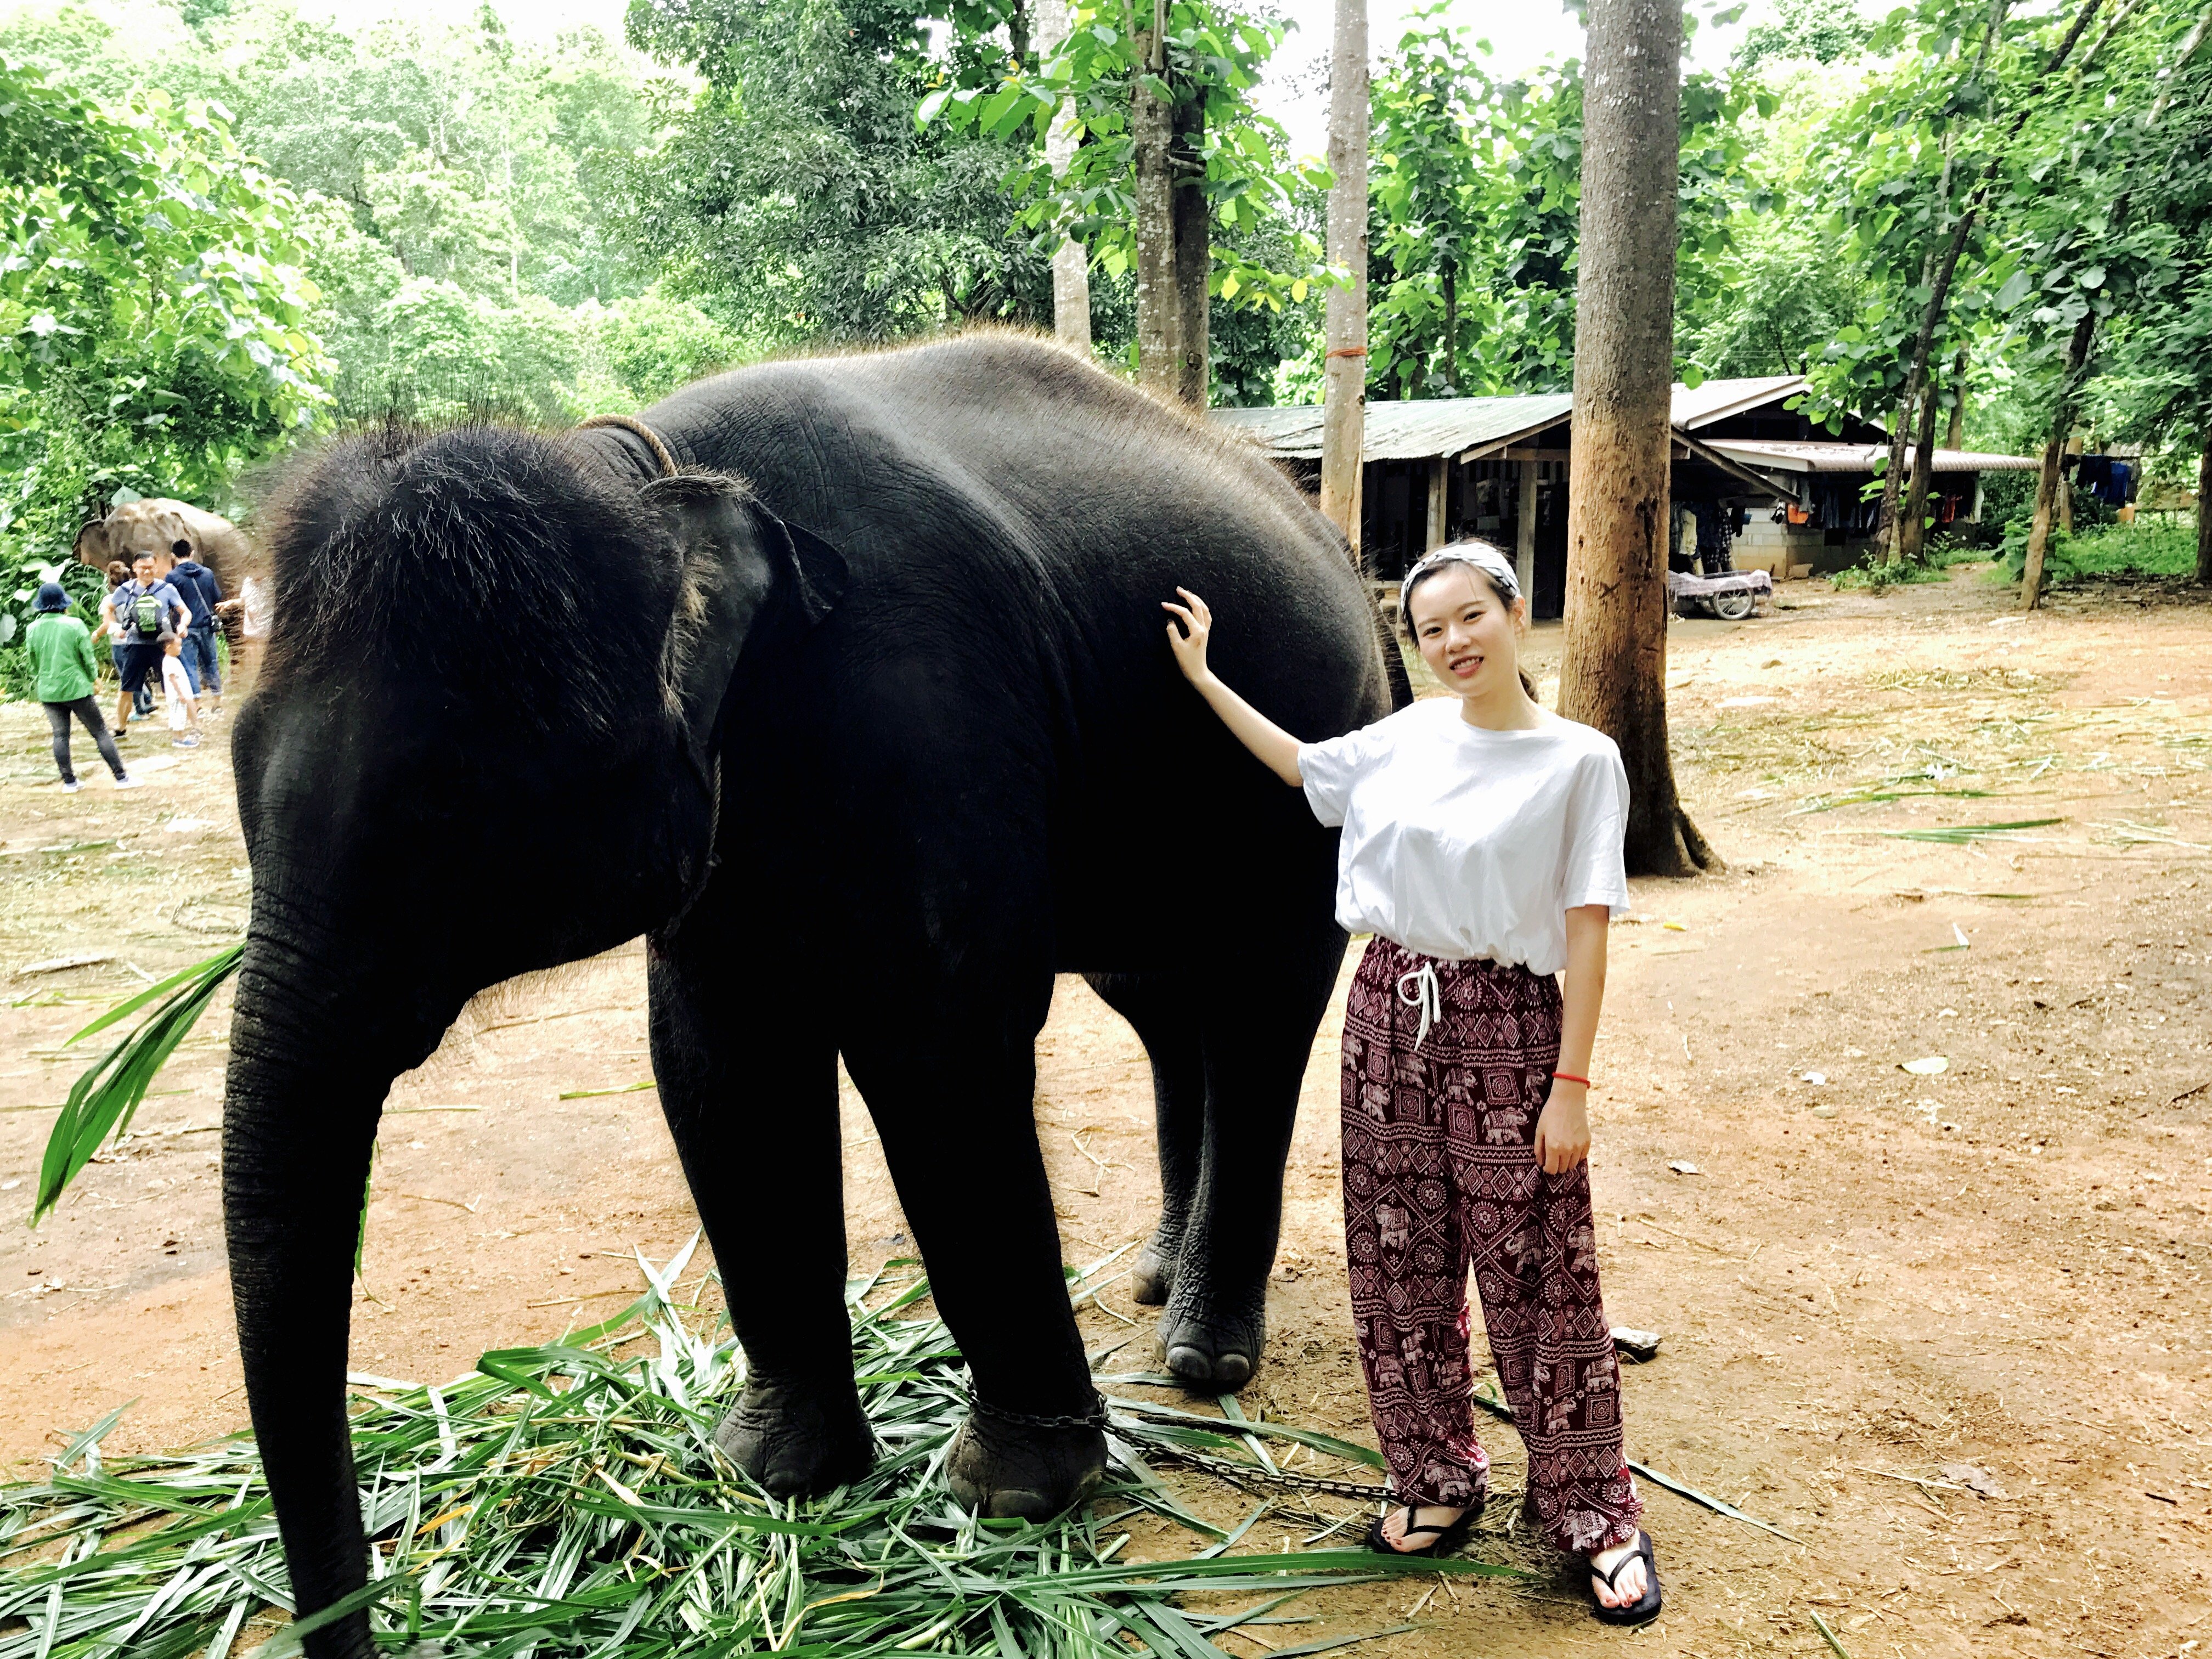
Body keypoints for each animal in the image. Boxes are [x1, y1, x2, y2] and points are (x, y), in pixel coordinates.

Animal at [220, 331, 1398, 1654]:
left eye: (447, 815)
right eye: (237, 772)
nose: (368, 1623)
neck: (635, 473)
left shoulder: (931, 707)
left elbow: (939, 1052)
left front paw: (1019, 1496)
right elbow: (718, 1066)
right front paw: (773, 1477)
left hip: (1314, 768)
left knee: (1257, 1008)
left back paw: (1203, 1355)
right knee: (1157, 1001)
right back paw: (1153, 1278)